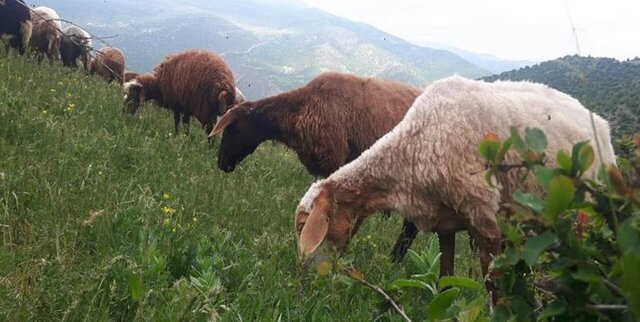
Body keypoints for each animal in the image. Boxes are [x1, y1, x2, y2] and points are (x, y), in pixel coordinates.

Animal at [296, 76, 616, 294]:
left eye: (305, 227)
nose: (307, 275)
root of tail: (600, 122)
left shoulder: (484, 218)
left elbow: (493, 286)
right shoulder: (445, 222)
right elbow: (445, 278)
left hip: (586, 207)